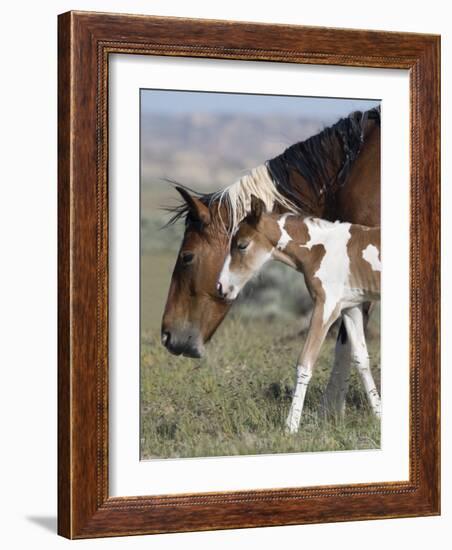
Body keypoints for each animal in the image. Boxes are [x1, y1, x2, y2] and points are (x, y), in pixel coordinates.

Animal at [217, 198, 380, 436]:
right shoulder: (351, 307)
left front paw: (290, 427)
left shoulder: (326, 306)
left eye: (242, 245)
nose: (221, 287)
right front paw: (380, 416)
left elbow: (305, 362)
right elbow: (361, 359)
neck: (321, 249)